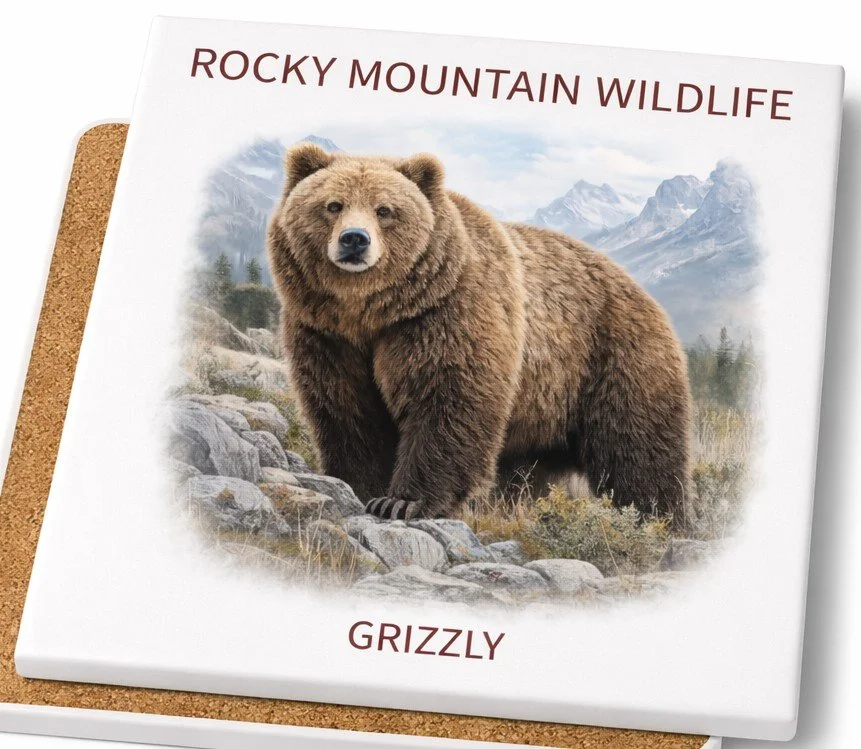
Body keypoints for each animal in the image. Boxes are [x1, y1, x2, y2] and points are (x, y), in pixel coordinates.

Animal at [267, 142, 693, 526]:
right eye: (333, 205)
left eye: (384, 210)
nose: (355, 239)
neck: (371, 311)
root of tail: (645, 295)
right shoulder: (326, 332)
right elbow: (347, 410)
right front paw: (359, 485)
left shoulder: (444, 313)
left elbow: (448, 399)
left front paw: (402, 502)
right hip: (541, 410)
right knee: (525, 470)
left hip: (609, 360)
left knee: (637, 451)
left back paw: (657, 519)